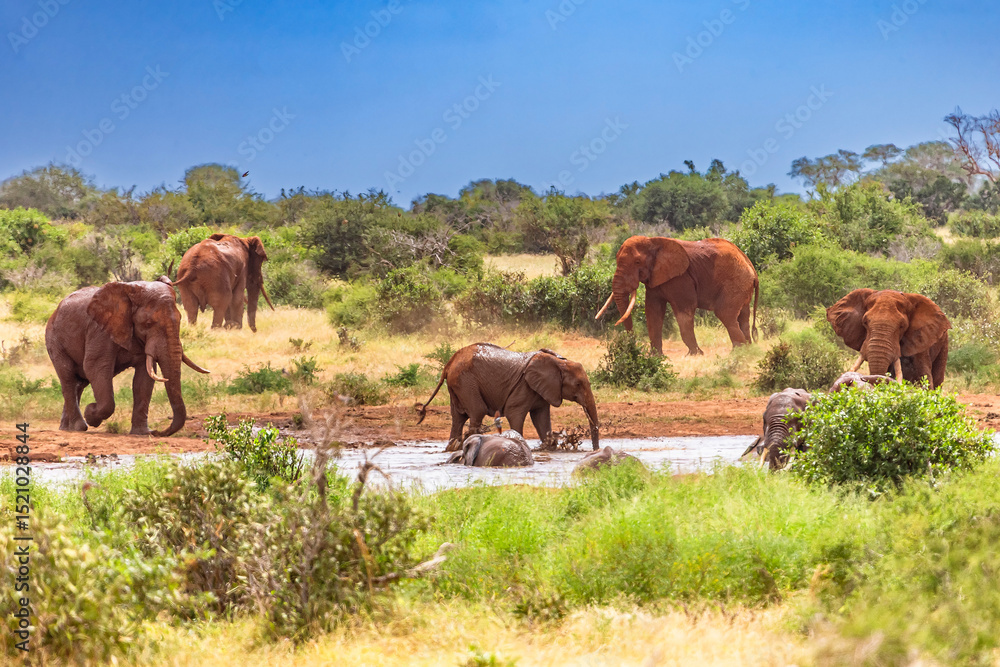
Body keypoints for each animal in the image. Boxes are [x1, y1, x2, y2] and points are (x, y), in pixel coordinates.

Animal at [45, 277, 210, 436]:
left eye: (180, 320)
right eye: (148, 323)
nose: (158, 432)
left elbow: (144, 378)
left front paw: (143, 433)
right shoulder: (99, 330)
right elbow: (95, 366)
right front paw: (90, 413)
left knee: (79, 383)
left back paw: (67, 428)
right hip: (54, 341)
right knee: (68, 379)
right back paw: (79, 427)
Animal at [417, 343, 600, 452]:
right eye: (578, 384)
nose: (595, 450)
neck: (560, 362)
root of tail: (449, 363)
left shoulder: (543, 389)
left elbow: (541, 418)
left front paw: (548, 449)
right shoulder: (524, 386)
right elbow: (514, 414)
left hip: (457, 385)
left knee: (458, 418)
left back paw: (452, 449)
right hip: (465, 382)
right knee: (477, 411)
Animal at [596, 236, 759, 356]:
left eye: (637, 262)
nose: (633, 349)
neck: (652, 241)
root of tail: (751, 267)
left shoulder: (680, 277)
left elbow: (684, 311)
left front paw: (695, 355)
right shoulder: (656, 278)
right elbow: (653, 311)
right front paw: (656, 357)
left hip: (735, 282)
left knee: (725, 314)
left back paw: (738, 352)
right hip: (742, 286)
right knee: (743, 316)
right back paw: (748, 350)